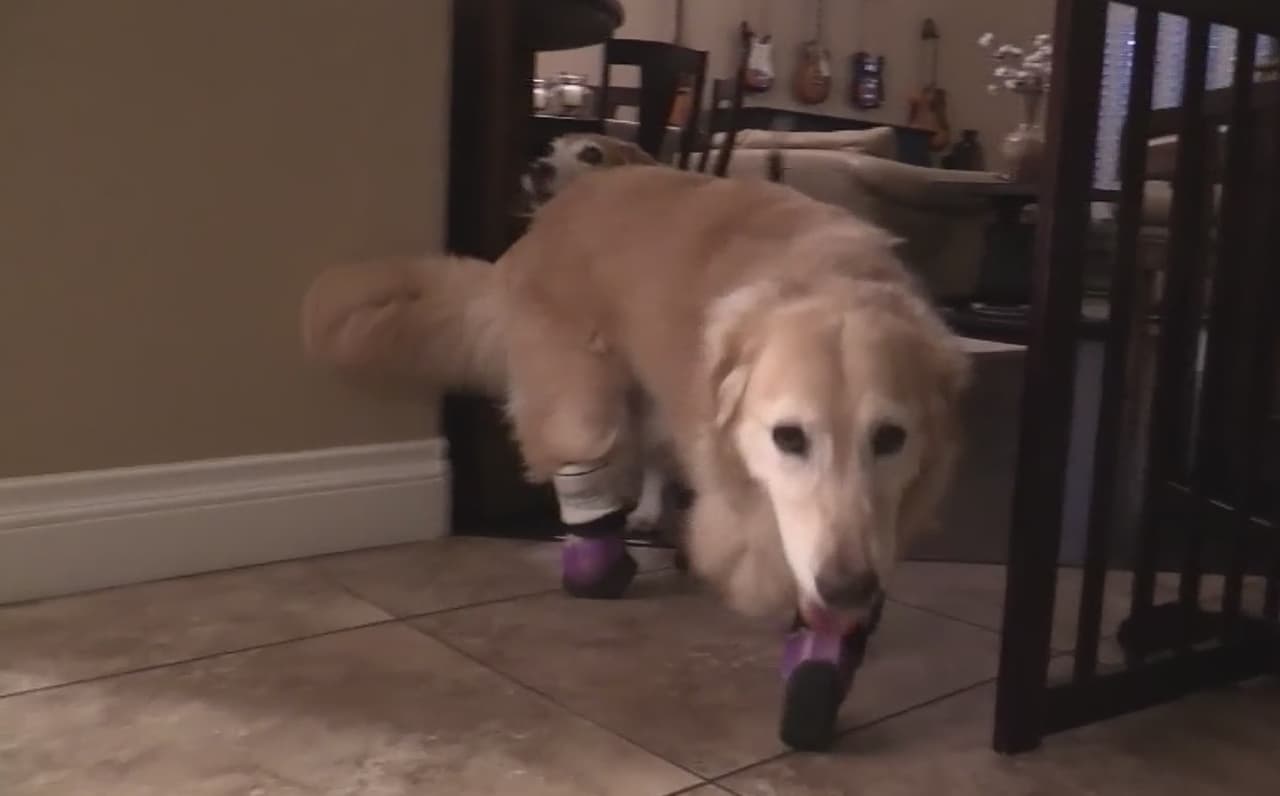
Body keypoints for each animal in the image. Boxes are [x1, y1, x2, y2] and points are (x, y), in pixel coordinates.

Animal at [302, 164, 971, 629]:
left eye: (890, 439)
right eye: (789, 437)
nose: (849, 589)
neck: (832, 281)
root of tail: (542, 223)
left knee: (649, 458)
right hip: (583, 386)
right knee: (583, 455)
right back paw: (600, 564)